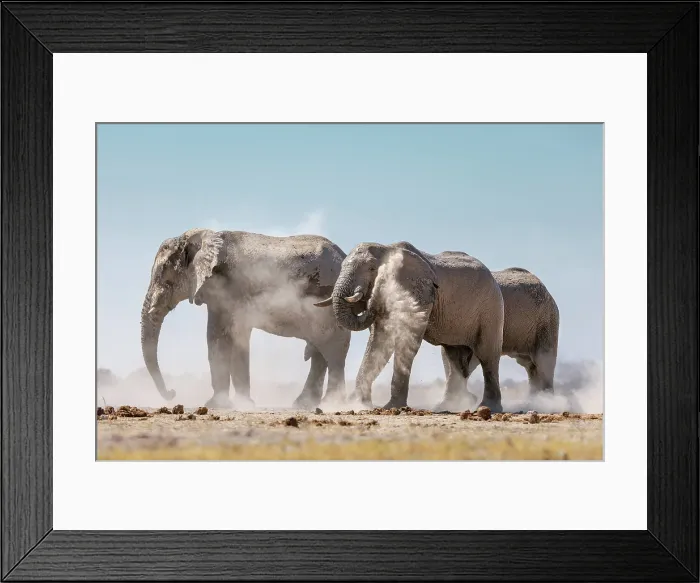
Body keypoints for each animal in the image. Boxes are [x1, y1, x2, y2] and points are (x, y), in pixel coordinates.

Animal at [140, 228, 351, 410]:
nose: (172, 392)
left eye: (166, 278)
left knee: (332, 349)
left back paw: (331, 404)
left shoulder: (230, 289)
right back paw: (304, 404)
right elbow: (223, 337)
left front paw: (219, 405)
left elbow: (222, 338)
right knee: (320, 351)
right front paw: (239, 403)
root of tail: (343, 254)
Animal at [314, 241, 505, 411]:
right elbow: (379, 342)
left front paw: (391, 407)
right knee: (453, 356)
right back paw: (448, 407)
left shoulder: (418, 295)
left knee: (487, 356)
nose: (373, 293)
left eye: (372, 269)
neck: (387, 248)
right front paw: (361, 405)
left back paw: (489, 407)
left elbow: (406, 340)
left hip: (491, 309)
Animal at [435, 267, 560, 412]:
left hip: (546, 321)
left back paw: (547, 402)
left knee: (544, 361)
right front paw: (453, 402)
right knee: (531, 366)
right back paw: (533, 402)